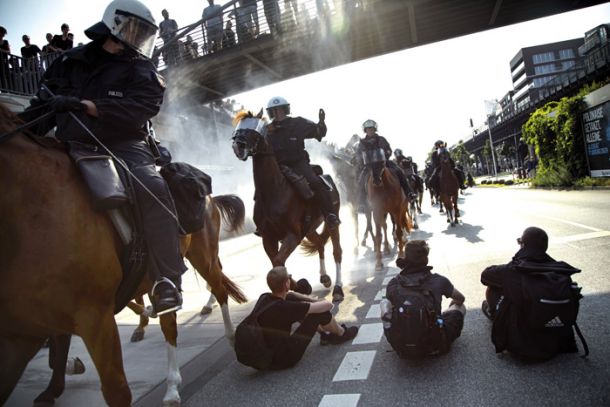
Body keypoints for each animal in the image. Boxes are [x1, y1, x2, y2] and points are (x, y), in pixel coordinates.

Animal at [0, 106, 247, 407]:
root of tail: (210, 195)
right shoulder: (21, 331)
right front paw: (54, 386)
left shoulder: (94, 316)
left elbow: (115, 388)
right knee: (169, 320)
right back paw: (171, 384)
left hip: (203, 256)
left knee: (219, 290)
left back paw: (229, 337)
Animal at [229, 111, 342, 302]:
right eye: (239, 127)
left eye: (256, 128)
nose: (238, 146)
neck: (274, 191)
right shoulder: (269, 238)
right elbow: (276, 263)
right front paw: (298, 285)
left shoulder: (292, 236)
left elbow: (277, 262)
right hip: (310, 229)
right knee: (320, 243)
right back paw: (324, 277)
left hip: (331, 222)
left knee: (337, 252)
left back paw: (338, 288)